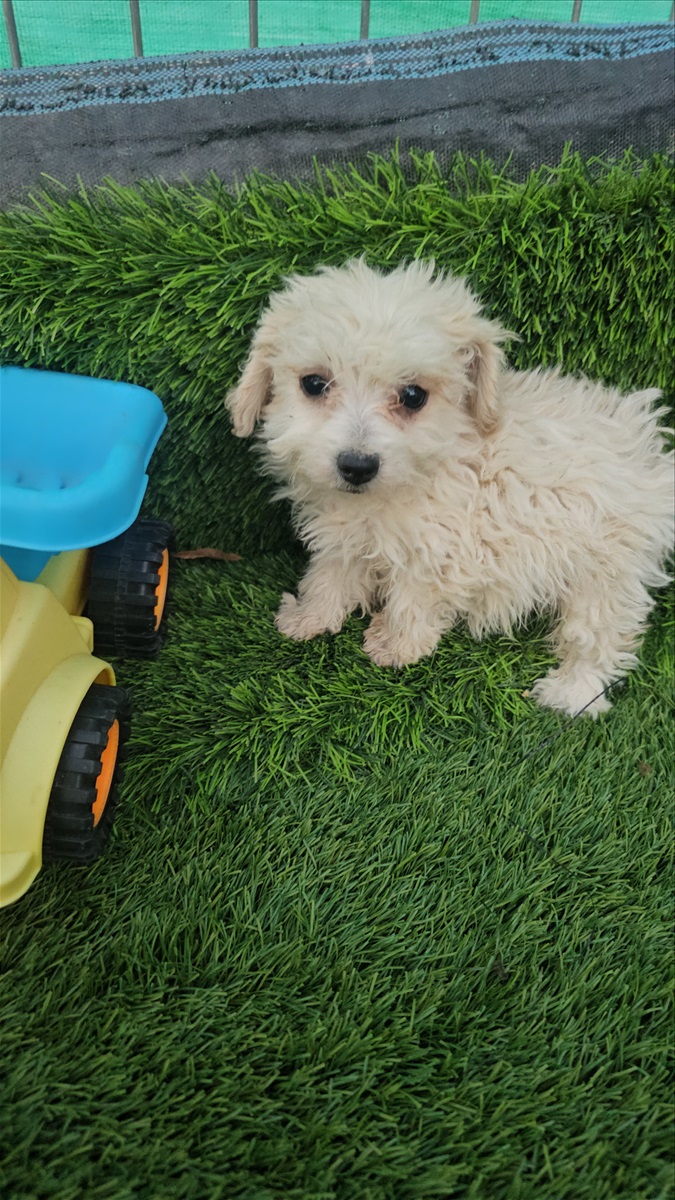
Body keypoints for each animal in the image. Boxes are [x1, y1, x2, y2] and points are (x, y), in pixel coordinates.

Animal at [227, 260, 672, 710]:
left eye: (412, 395)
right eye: (314, 384)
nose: (356, 465)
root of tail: (651, 457)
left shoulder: (443, 547)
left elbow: (414, 599)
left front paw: (396, 647)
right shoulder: (347, 537)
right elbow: (330, 576)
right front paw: (309, 618)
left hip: (605, 570)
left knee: (599, 636)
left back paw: (571, 692)